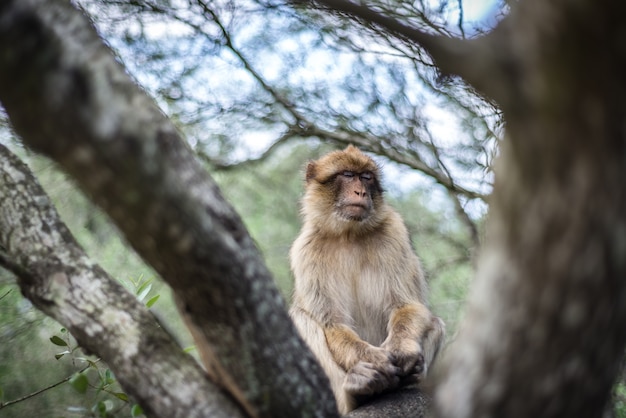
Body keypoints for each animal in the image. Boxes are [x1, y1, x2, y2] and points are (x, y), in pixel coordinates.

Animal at [288, 145, 444, 414]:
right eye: (348, 175)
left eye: (367, 177)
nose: (360, 191)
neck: (348, 234)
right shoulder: (305, 251)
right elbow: (332, 323)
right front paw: (374, 359)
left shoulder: (394, 232)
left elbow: (407, 305)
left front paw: (401, 350)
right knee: (300, 318)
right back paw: (358, 389)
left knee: (434, 322)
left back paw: (412, 375)